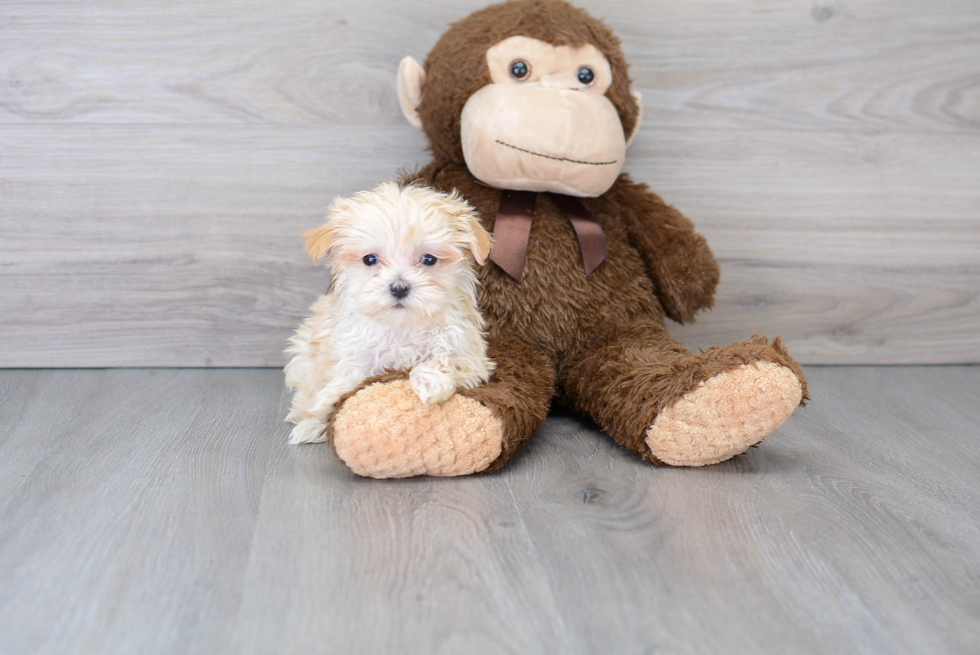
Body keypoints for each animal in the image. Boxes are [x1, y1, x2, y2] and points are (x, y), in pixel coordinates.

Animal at [284, 182, 498, 444]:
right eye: (370, 259)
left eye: (428, 259)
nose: (399, 287)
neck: (402, 327)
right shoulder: (353, 350)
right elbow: (352, 373)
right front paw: (332, 399)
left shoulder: (469, 357)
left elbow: (443, 359)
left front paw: (430, 381)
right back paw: (309, 426)